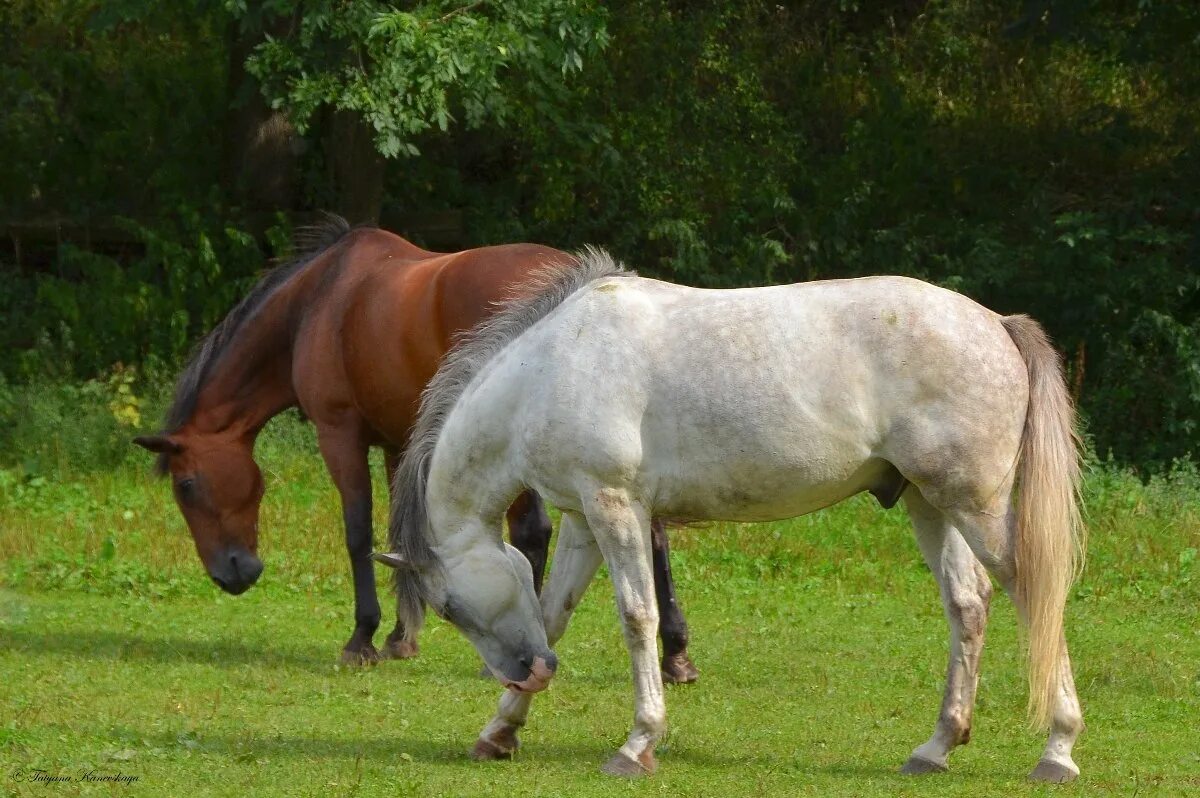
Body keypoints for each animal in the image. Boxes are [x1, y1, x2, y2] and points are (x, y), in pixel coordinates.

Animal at [133, 216, 700, 676]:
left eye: (186, 485)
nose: (234, 573)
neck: (318, 300)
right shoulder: (397, 443)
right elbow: (402, 539)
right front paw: (401, 636)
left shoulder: (339, 435)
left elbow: (359, 532)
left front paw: (362, 638)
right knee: (651, 535)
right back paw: (675, 653)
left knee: (533, 532)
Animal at [376, 249, 1089, 777]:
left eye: (448, 608)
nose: (531, 674)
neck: (548, 368)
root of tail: (995, 323)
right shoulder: (584, 520)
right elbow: (554, 613)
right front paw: (499, 731)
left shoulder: (616, 508)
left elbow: (637, 617)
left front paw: (638, 743)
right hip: (928, 502)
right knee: (968, 605)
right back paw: (936, 747)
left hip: (974, 506)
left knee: (1032, 593)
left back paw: (1057, 750)